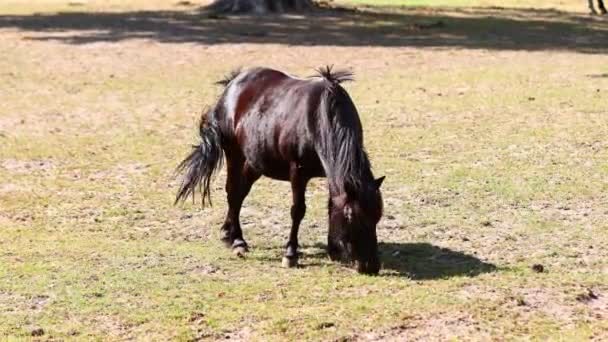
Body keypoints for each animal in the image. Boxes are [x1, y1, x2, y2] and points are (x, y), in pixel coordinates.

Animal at [177, 67, 384, 276]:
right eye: (352, 217)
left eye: (377, 215)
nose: (371, 266)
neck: (320, 117)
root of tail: (232, 84)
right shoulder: (298, 172)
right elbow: (298, 210)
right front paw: (290, 254)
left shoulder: (331, 174)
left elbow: (332, 205)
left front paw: (333, 249)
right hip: (234, 154)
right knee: (233, 192)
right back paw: (236, 240)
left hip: (255, 162)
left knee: (240, 193)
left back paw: (229, 234)